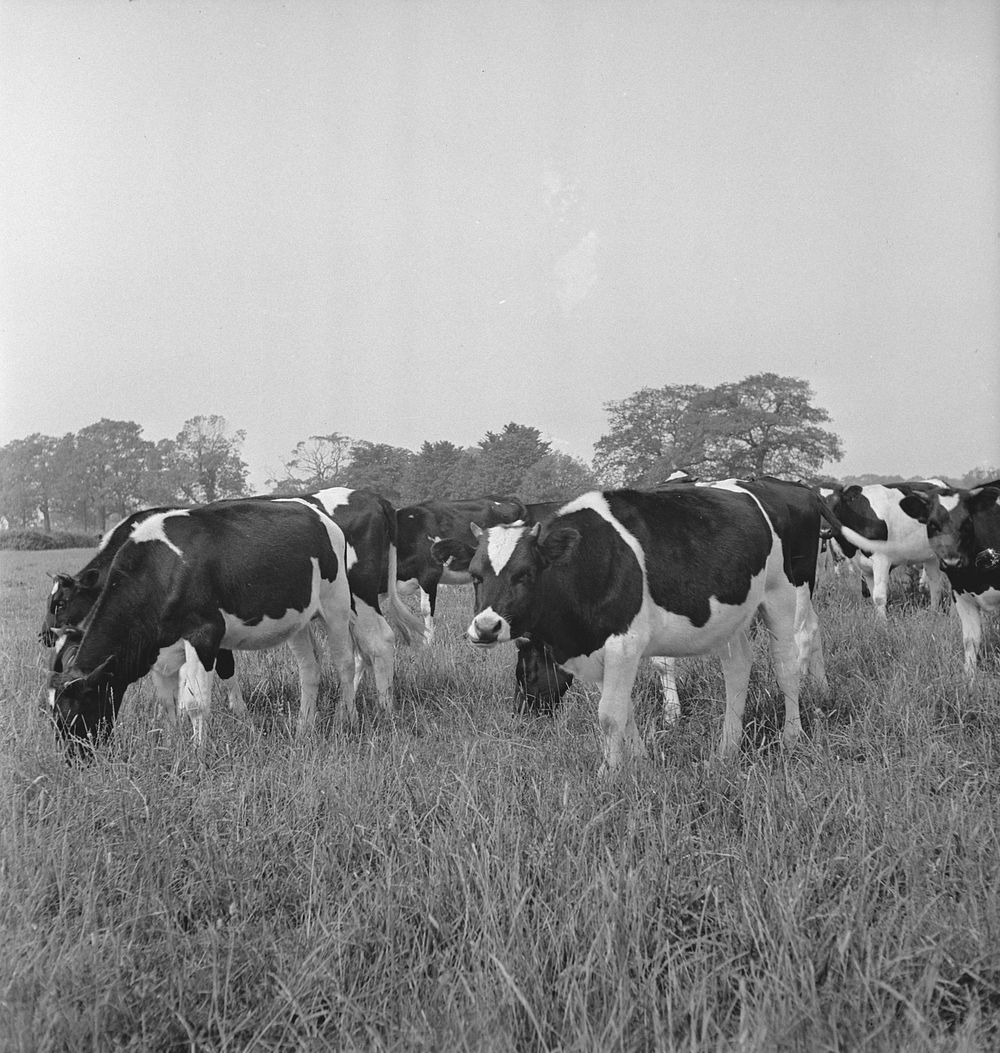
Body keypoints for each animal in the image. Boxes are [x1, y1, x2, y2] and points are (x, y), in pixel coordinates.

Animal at [48, 497, 360, 753]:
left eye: (73, 714)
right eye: (53, 718)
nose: (75, 761)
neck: (161, 571)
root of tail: (317, 513)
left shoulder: (205, 634)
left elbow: (196, 703)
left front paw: (198, 753)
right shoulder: (159, 650)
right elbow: (168, 703)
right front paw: (172, 746)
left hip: (336, 605)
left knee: (345, 663)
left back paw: (345, 721)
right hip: (298, 620)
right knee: (310, 669)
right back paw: (304, 728)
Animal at [437, 484, 837, 775]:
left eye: (525, 574)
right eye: (476, 575)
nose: (485, 627)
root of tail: (792, 487)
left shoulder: (623, 643)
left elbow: (609, 715)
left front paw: (610, 773)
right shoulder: (600, 649)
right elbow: (623, 709)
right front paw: (641, 761)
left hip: (784, 592)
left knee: (785, 664)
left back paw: (792, 737)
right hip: (732, 615)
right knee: (737, 668)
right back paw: (726, 751)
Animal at [821, 482, 964, 619]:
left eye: (837, 504)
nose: (825, 531)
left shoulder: (881, 559)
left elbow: (879, 596)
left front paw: (883, 623)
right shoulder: (865, 567)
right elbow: (872, 594)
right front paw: (878, 621)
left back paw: (953, 615)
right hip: (932, 557)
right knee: (935, 584)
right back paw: (933, 614)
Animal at [875, 480, 1000, 673]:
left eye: (967, 522)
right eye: (932, 524)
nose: (951, 562)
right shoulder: (962, 597)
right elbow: (970, 641)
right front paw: (969, 676)